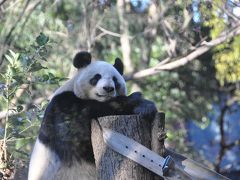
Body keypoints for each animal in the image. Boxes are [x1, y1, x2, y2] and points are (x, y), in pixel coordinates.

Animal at [28, 51, 157, 180]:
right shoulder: (62, 107)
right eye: (97, 77)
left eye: (115, 80)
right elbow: (78, 133)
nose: (108, 88)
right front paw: (139, 102)